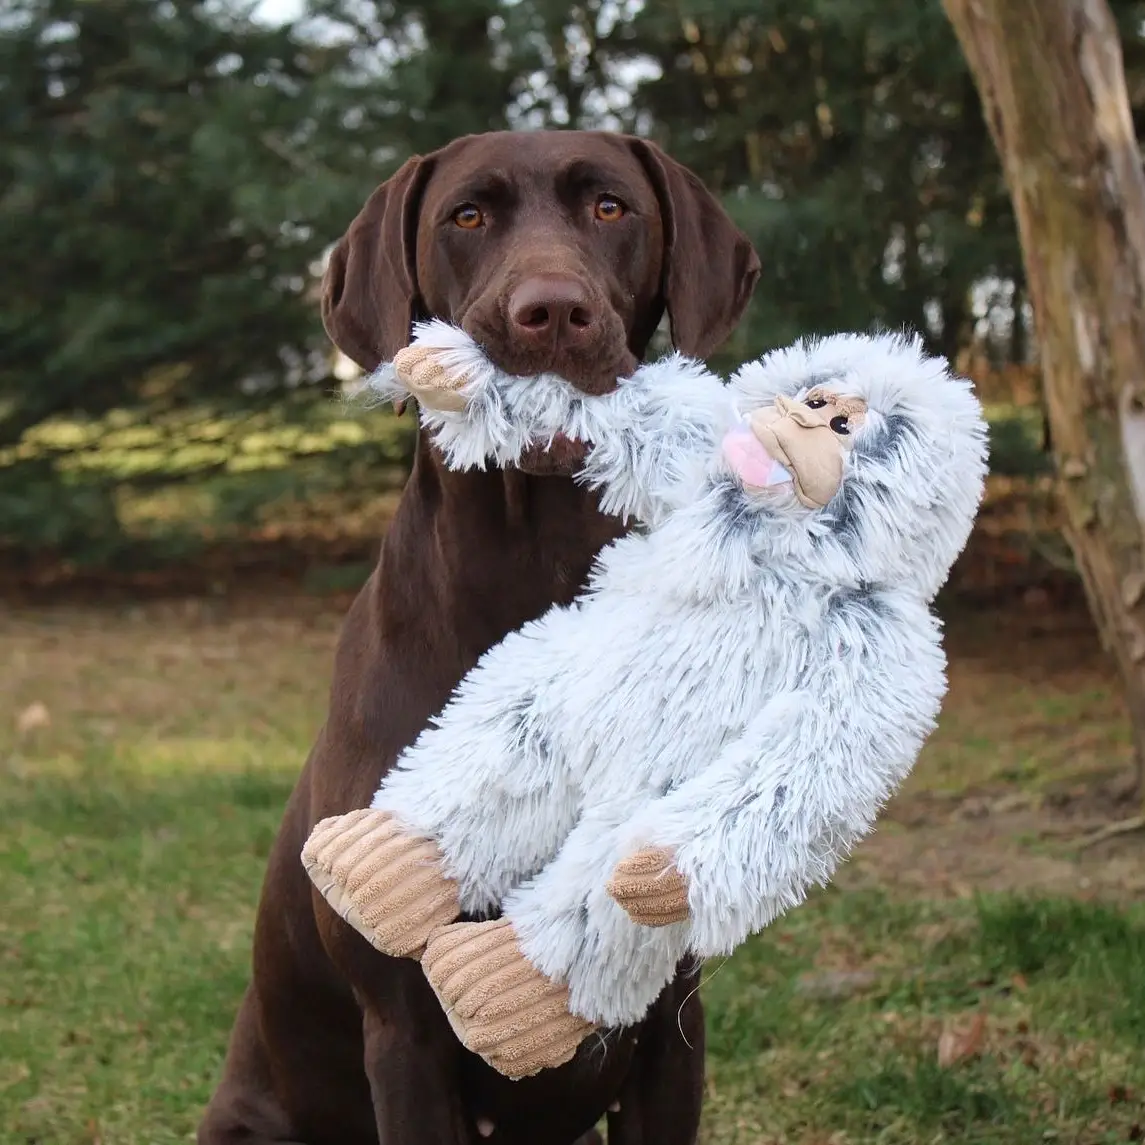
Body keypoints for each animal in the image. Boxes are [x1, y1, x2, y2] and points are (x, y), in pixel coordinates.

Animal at [196, 129, 760, 1145]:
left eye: (610, 207)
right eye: (466, 216)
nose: (551, 313)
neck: (530, 567)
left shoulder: (671, 1024)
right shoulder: (405, 1033)